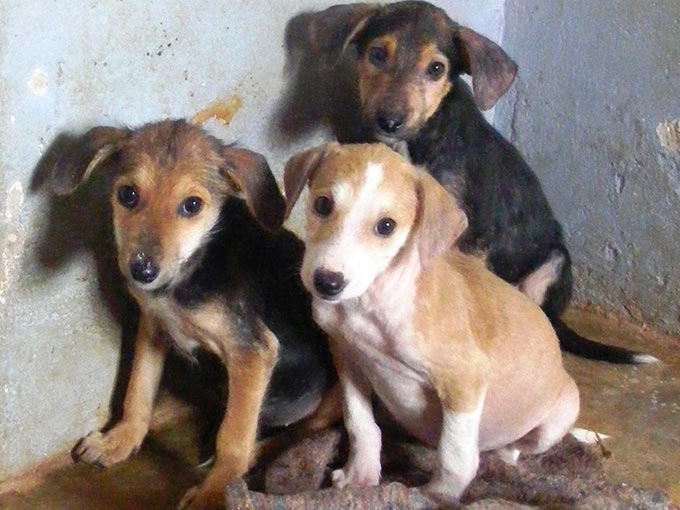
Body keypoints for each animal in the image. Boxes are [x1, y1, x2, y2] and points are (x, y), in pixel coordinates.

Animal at [50, 120, 334, 510]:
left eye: (192, 205)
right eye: (128, 195)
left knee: (310, 429)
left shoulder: (253, 351)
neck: (187, 273)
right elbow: (137, 391)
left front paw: (216, 491)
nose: (142, 271)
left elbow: (233, 437)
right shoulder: (152, 325)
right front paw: (119, 441)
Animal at [282, 1, 652, 364]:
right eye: (377, 54)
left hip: (553, 264)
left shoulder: (470, 236)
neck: (418, 140)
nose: (389, 120)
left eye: (436, 69)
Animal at [282, 141, 580, 504]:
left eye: (386, 226)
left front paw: (433, 496)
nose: (327, 282)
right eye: (323, 204)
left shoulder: (464, 380)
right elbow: (361, 423)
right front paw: (360, 476)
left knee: (517, 446)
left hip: (561, 414)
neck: (372, 304)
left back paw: (502, 455)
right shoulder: (349, 357)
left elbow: (455, 458)